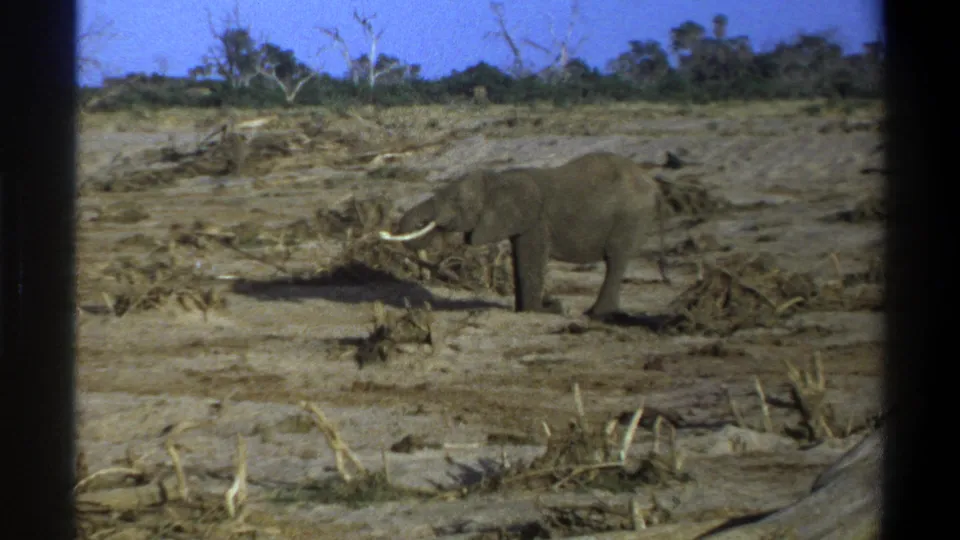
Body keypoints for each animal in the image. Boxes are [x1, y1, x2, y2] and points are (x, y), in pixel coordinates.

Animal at [379, 151, 668, 319]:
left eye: (456, 201)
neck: (498, 180)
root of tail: (654, 186)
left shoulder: (536, 220)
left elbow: (531, 259)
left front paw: (545, 310)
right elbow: (520, 258)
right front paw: (524, 310)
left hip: (631, 218)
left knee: (616, 260)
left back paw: (595, 314)